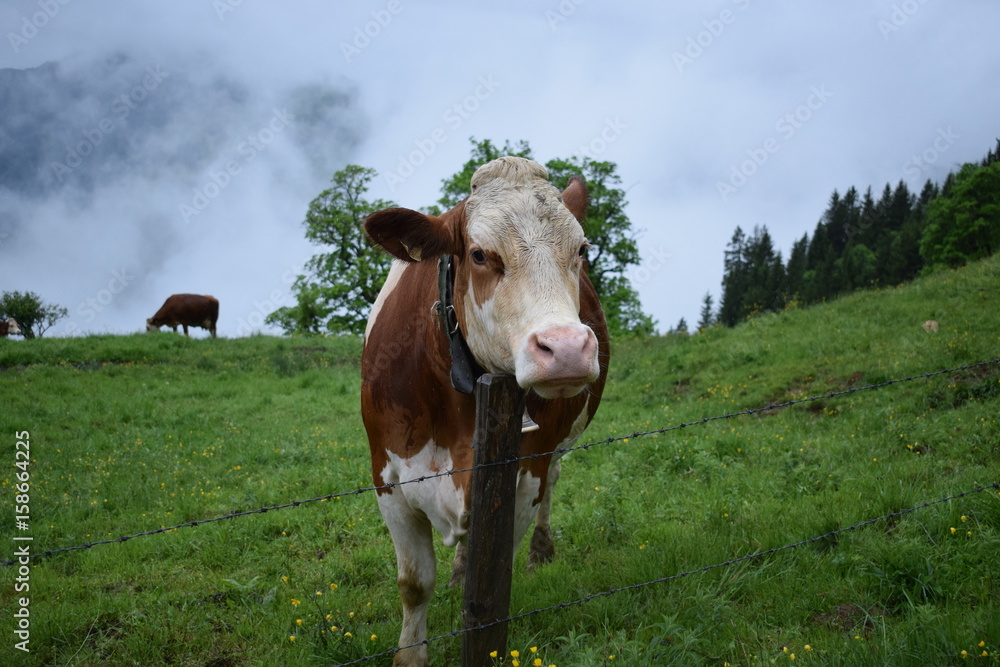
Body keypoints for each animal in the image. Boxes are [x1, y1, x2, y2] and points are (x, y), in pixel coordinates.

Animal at [361, 156, 610, 666]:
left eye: (581, 249)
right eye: (478, 254)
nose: (567, 349)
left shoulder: (524, 477)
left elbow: (494, 581)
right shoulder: (388, 480)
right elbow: (415, 584)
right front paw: (410, 655)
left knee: (553, 480)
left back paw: (541, 552)